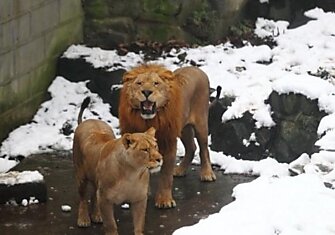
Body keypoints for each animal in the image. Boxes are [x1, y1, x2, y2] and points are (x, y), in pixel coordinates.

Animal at [73, 97, 163, 235]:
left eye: (155, 146)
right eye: (145, 150)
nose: (160, 159)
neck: (132, 173)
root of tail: (88, 121)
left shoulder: (140, 199)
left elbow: (139, 224)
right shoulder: (105, 198)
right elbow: (111, 224)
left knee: (93, 194)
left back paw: (97, 215)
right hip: (81, 176)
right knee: (82, 198)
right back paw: (83, 219)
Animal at [119, 63, 217, 207]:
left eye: (156, 83)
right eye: (139, 83)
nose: (146, 92)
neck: (148, 120)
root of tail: (196, 68)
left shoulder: (169, 141)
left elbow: (166, 174)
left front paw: (165, 201)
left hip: (201, 124)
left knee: (204, 149)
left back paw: (207, 174)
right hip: (184, 129)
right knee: (191, 147)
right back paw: (180, 170)